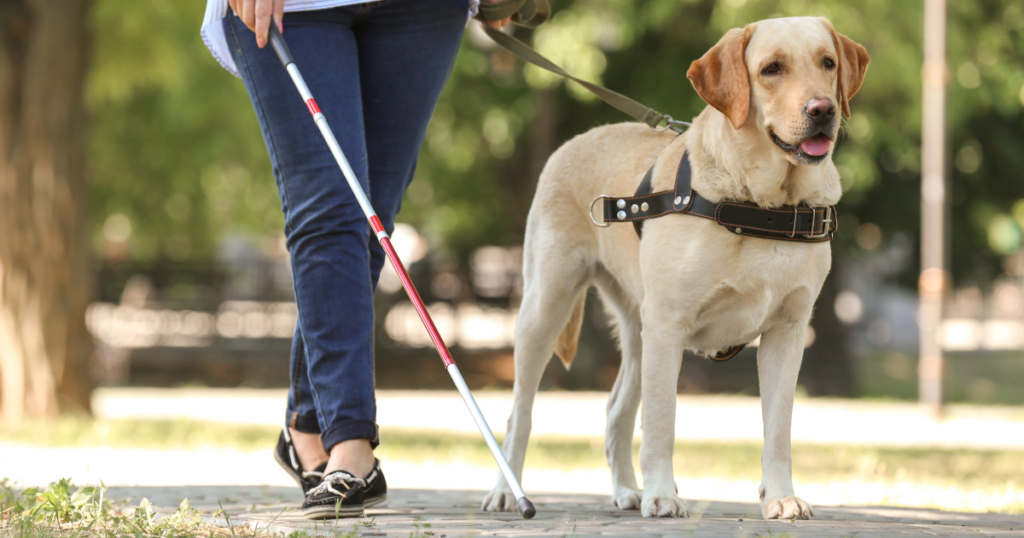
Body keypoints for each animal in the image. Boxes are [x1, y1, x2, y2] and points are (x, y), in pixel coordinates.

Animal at [483, 16, 868, 518]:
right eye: (772, 69)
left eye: (827, 62)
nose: (823, 109)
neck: (760, 207)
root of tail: (578, 138)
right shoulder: (669, 324)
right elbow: (662, 421)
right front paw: (663, 494)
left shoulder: (788, 332)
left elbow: (778, 430)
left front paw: (780, 497)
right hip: (546, 307)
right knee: (520, 413)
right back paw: (508, 491)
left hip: (637, 330)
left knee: (615, 410)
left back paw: (627, 491)